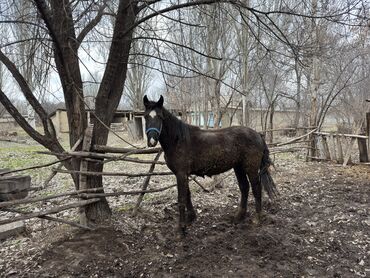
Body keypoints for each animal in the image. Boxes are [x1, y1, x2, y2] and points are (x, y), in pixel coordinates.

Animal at [143, 95, 276, 235]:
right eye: (146, 116)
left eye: (160, 117)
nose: (151, 141)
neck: (178, 139)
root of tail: (258, 135)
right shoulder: (183, 174)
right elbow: (187, 195)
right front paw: (190, 218)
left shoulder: (181, 174)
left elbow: (181, 199)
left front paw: (181, 229)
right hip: (238, 167)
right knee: (244, 187)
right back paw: (239, 216)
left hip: (251, 168)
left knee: (256, 188)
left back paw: (257, 218)